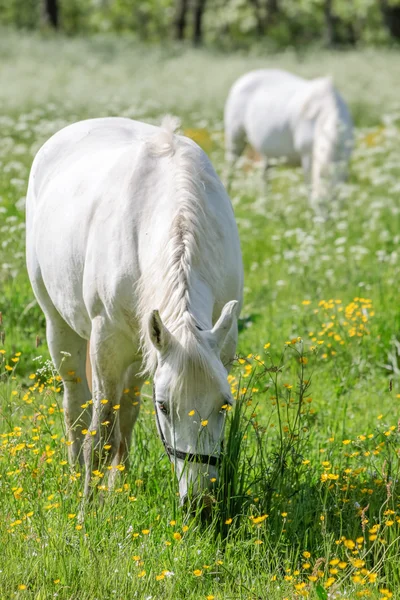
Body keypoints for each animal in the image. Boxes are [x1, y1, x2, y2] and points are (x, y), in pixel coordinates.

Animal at [26, 116, 244, 502]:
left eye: (224, 404)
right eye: (165, 406)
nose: (199, 503)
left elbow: (121, 425)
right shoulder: (107, 347)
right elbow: (99, 436)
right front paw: (87, 507)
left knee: (126, 413)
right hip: (60, 329)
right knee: (75, 404)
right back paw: (75, 476)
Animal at [225, 67, 354, 207]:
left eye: (339, 205)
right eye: (318, 204)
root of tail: (244, 78)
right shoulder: (307, 156)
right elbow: (309, 187)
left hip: (270, 154)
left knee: (265, 176)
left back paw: (266, 205)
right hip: (235, 139)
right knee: (230, 169)